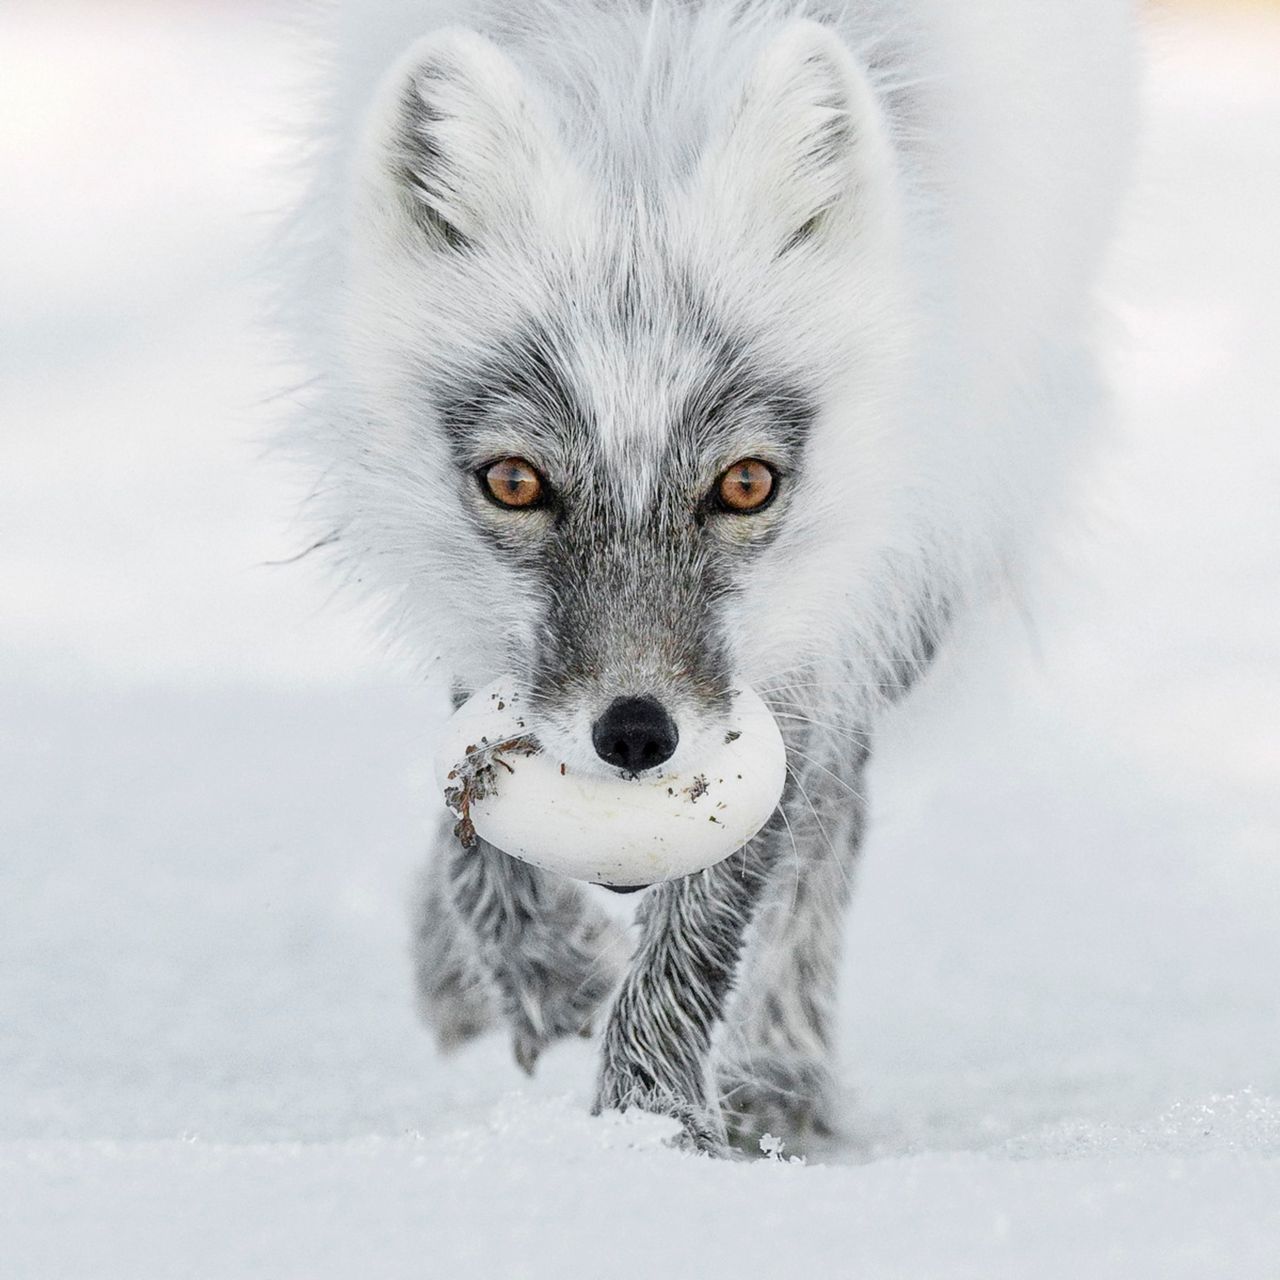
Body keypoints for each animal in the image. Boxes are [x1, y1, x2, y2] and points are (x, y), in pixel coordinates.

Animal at [285, 0, 1136, 1157]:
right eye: (515, 481)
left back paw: (779, 1074)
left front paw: (650, 1132)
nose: (637, 735)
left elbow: (721, 905)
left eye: (744, 483)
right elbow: (474, 812)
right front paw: (545, 975)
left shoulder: (812, 633)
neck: (646, 89)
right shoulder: (477, 619)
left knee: (830, 821)